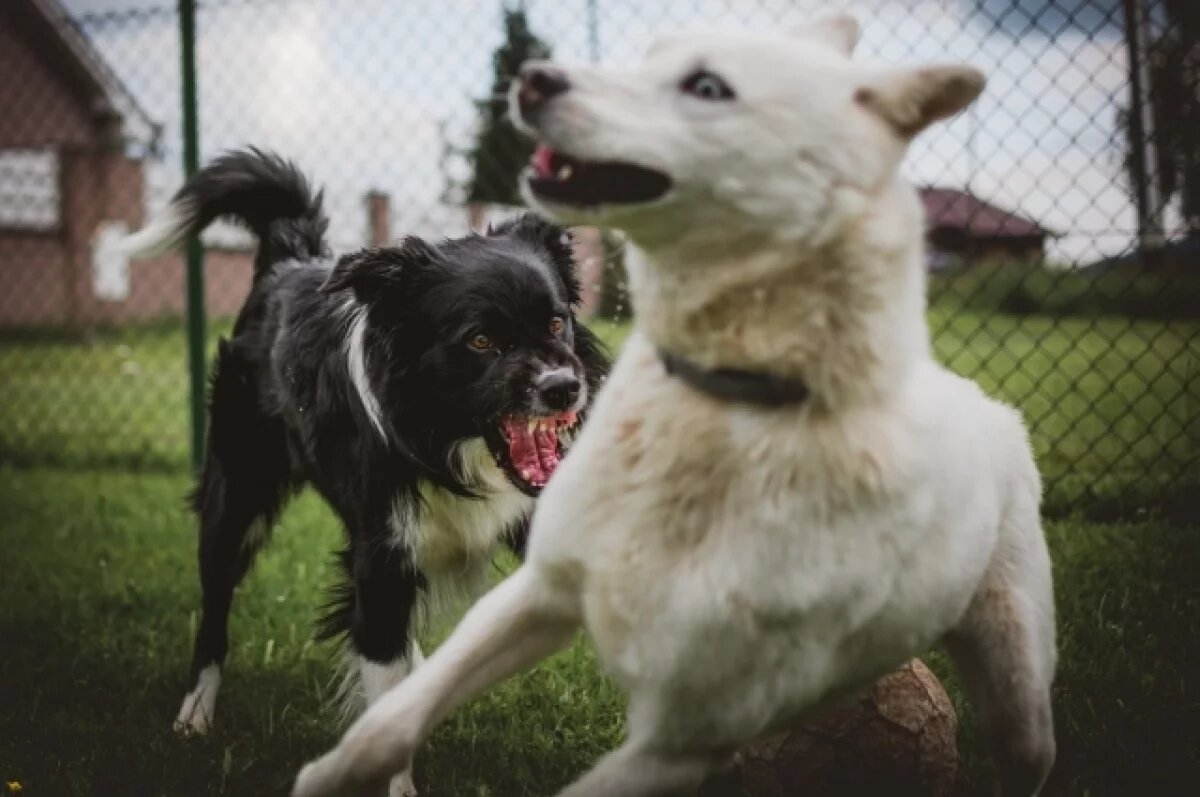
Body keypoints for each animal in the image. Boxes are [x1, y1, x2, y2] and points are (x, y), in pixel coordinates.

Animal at [125, 152, 604, 787]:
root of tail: (289, 259)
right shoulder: (382, 560)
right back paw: (194, 715)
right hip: (236, 496)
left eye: (555, 324)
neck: (448, 442)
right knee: (215, 611)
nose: (563, 388)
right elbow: (382, 681)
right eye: (480, 341)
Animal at [295, 14, 1056, 797]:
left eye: (556, 324)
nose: (564, 389)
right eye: (479, 340)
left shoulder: (690, 728)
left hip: (1016, 676)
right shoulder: (493, 582)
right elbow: (391, 707)